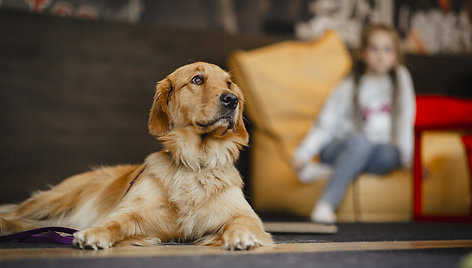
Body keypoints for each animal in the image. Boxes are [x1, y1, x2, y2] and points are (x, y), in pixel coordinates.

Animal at [0, 61, 272, 250]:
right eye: (197, 79)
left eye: (229, 84)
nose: (232, 99)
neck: (196, 163)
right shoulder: (133, 212)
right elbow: (113, 222)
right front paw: (94, 233)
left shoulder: (243, 215)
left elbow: (244, 223)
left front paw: (242, 238)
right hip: (54, 198)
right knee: (14, 212)